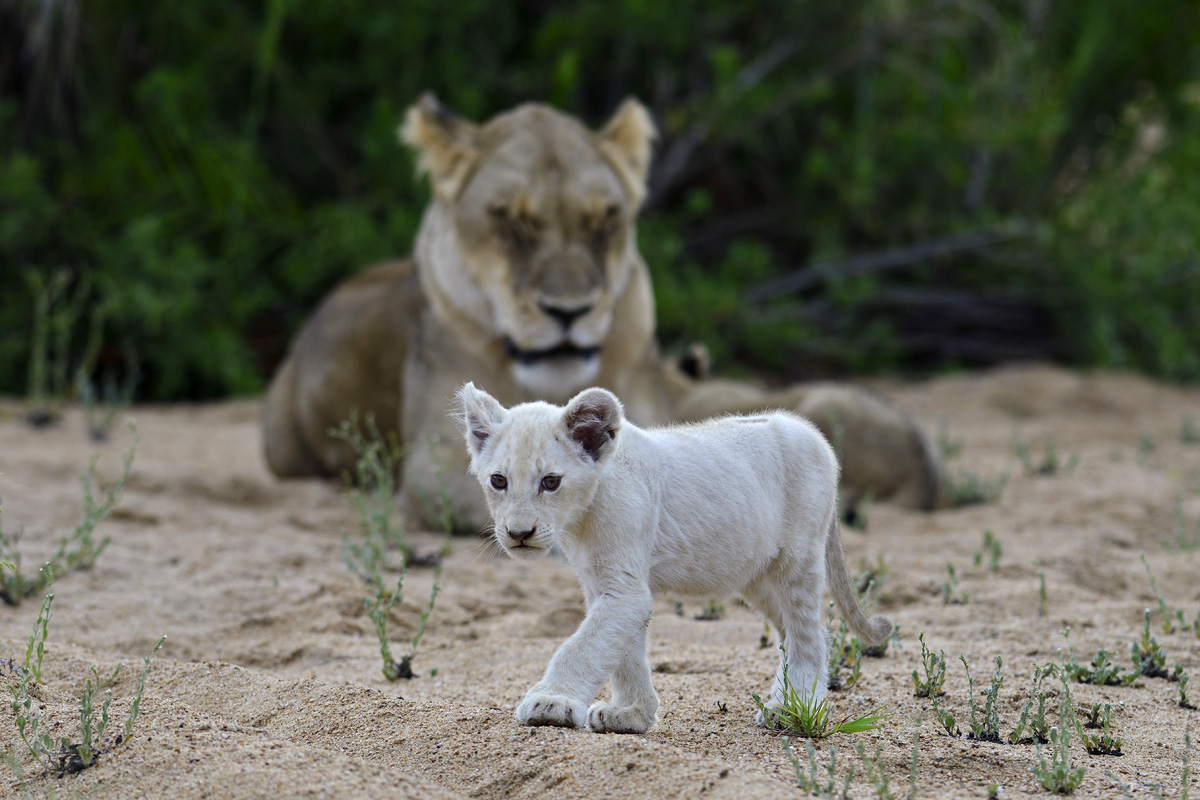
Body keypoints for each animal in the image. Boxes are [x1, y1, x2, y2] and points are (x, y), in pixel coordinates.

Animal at [456, 381, 892, 733]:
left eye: (550, 482)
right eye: (499, 481)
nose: (519, 534)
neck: (580, 518)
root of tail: (814, 434)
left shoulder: (624, 589)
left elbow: (582, 645)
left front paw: (551, 702)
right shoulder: (605, 584)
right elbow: (621, 651)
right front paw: (631, 715)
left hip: (797, 561)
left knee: (809, 636)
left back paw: (793, 710)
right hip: (756, 576)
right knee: (801, 633)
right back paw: (786, 702)